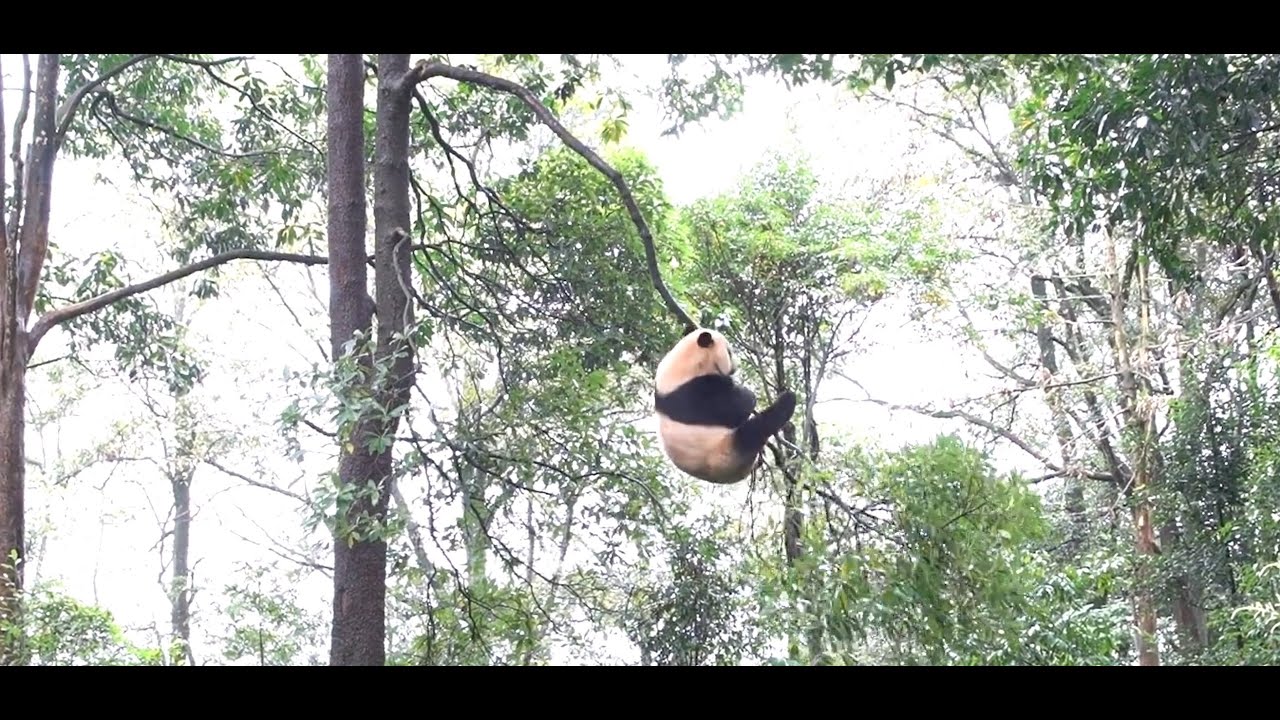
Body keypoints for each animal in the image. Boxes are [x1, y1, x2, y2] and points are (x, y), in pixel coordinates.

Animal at [653, 325, 797, 484]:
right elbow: (731, 409)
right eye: (729, 352)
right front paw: (748, 395)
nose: (736, 365)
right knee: (755, 431)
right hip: (726, 451)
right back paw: (787, 401)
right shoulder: (689, 393)